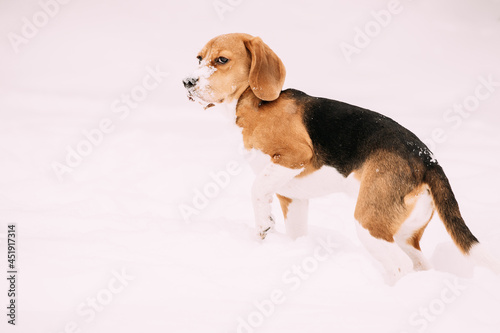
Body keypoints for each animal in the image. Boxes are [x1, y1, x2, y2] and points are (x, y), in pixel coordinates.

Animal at [184, 33, 488, 274]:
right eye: (199, 58)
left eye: (222, 60)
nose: (187, 82)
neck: (252, 102)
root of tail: (427, 158)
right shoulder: (293, 197)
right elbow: (295, 231)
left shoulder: (295, 155)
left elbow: (257, 188)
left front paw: (264, 225)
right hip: (404, 233)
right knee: (419, 265)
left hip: (368, 222)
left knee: (399, 265)